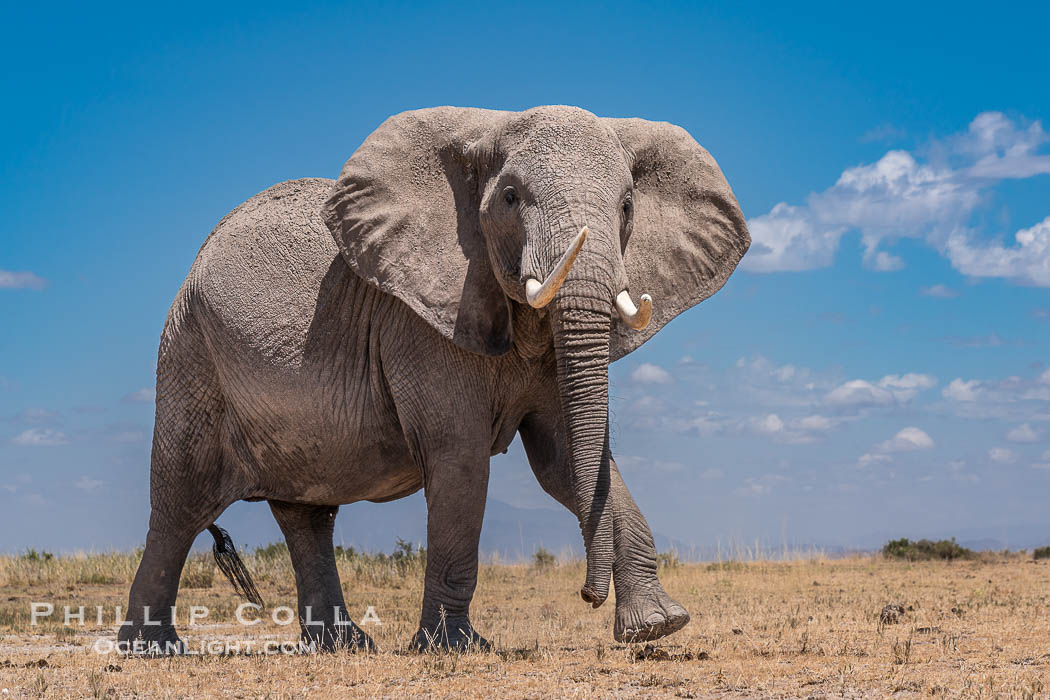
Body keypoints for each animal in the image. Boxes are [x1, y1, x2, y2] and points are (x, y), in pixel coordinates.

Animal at [118, 105, 750, 653]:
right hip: (190, 352)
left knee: (307, 515)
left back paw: (345, 647)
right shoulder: (421, 323)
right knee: (180, 502)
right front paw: (456, 648)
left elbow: (566, 462)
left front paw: (657, 626)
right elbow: (461, 460)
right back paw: (154, 649)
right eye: (511, 198)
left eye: (626, 206)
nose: (588, 595)